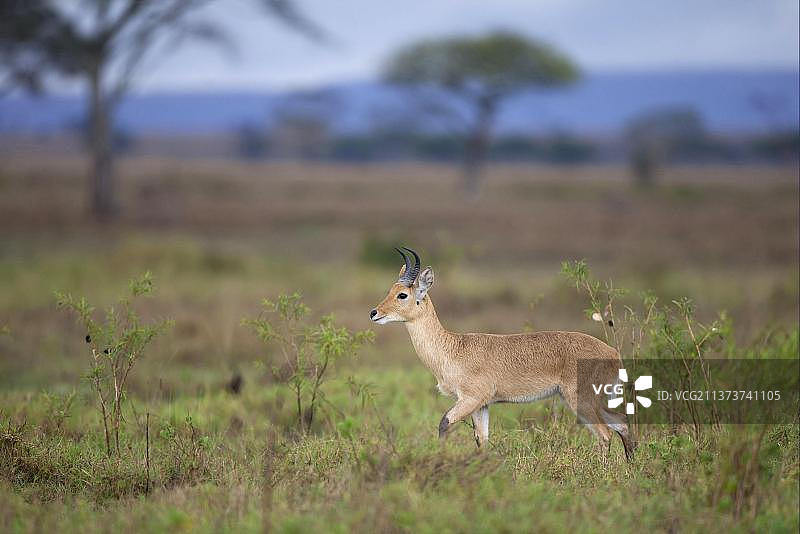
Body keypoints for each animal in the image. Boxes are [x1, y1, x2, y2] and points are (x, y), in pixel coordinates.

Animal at [370, 249, 636, 462]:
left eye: (402, 295)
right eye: (390, 290)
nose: (374, 313)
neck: (453, 349)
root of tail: (613, 353)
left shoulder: (471, 399)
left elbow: (444, 422)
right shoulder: (482, 406)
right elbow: (482, 440)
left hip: (581, 401)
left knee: (605, 435)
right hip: (595, 401)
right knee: (622, 423)